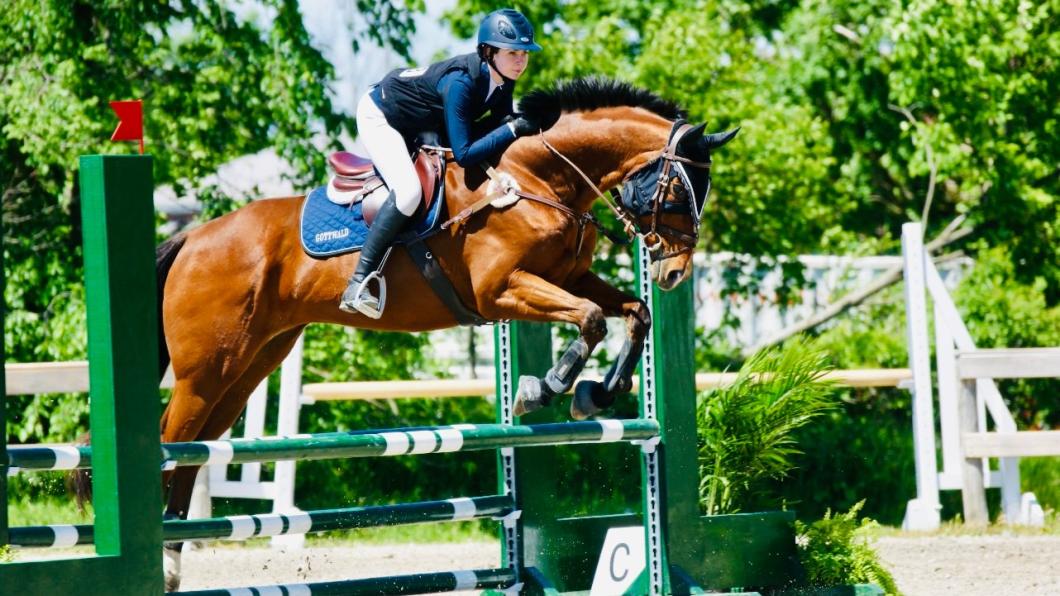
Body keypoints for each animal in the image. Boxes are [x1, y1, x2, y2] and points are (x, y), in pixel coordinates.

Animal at [149, 76, 733, 585]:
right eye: (680, 192)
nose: (674, 273)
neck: (541, 179)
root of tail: (195, 236)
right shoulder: (501, 290)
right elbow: (589, 317)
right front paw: (542, 388)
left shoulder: (567, 278)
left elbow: (636, 313)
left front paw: (596, 394)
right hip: (206, 371)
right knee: (171, 440)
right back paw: (161, 561)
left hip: (251, 364)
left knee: (196, 448)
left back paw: (173, 558)